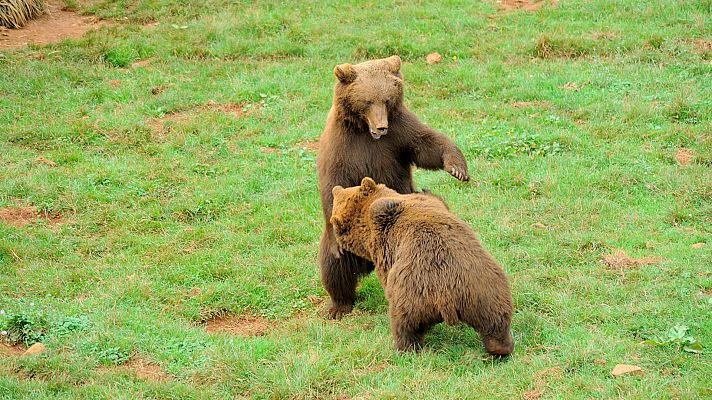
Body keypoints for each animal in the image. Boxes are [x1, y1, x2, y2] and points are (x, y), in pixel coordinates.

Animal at [316, 55, 468, 318]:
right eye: (367, 100)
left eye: (386, 99)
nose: (381, 126)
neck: (364, 131)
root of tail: (369, 258)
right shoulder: (342, 149)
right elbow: (333, 186)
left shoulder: (399, 135)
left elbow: (426, 144)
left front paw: (457, 167)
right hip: (344, 244)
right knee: (336, 267)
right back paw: (338, 305)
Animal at [330, 178, 516, 356]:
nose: (335, 188)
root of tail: (448, 297)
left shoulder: (384, 244)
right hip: (485, 289)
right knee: (496, 320)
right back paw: (500, 347)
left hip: (411, 295)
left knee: (404, 324)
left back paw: (404, 348)